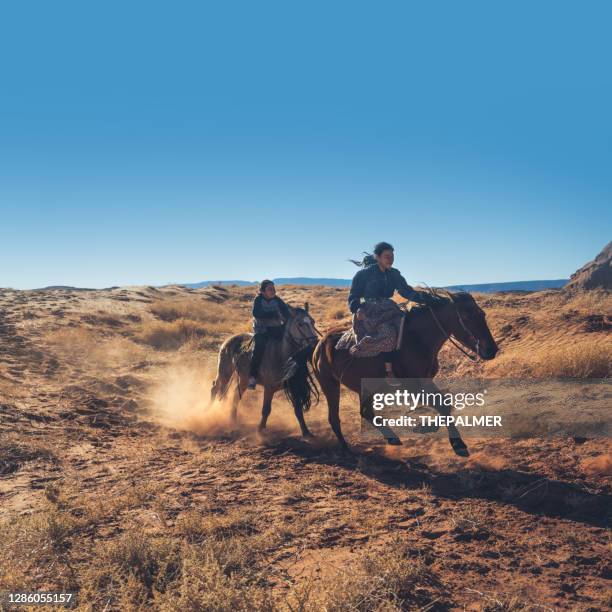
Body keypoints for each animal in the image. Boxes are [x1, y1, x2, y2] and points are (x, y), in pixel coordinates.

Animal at [314, 290, 500, 454]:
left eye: (482, 315)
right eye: (467, 317)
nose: (491, 350)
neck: (418, 339)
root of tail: (320, 344)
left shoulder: (425, 380)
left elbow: (444, 404)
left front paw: (431, 429)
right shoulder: (412, 385)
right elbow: (441, 405)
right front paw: (455, 442)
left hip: (366, 386)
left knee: (366, 412)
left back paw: (392, 438)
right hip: (330, 385)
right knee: (334, 417)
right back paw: (345, 448)